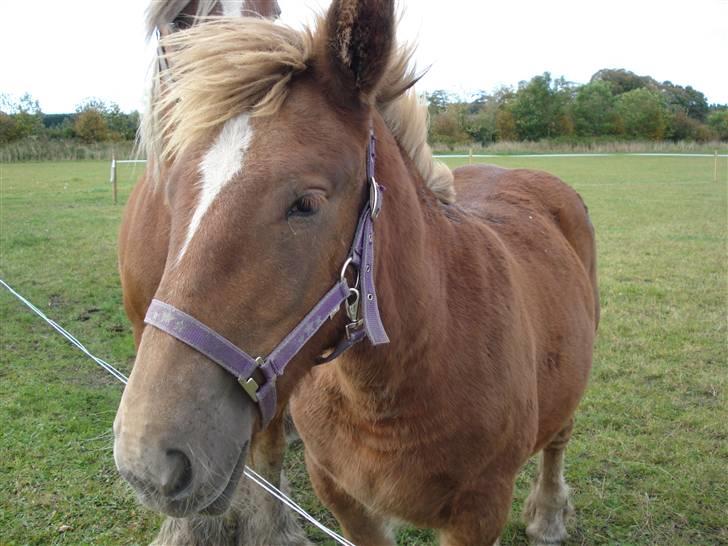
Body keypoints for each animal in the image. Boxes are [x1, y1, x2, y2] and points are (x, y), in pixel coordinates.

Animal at [115, 1, 596, 544]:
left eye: (306, 203)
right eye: (171, 191)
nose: (147, 458)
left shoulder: (479, 512)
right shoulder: (344, 498)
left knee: (559, 437)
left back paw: (549, 515)